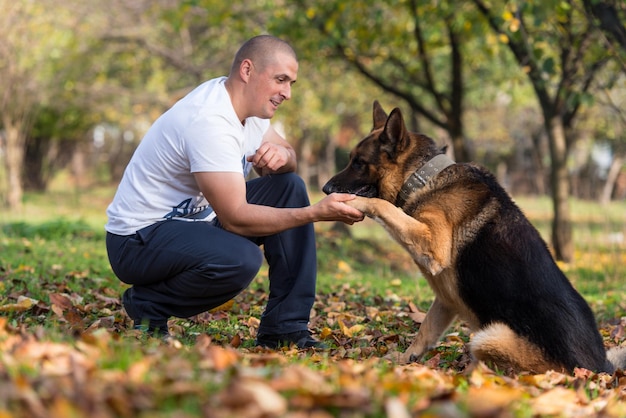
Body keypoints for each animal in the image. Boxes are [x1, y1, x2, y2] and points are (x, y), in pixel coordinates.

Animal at [322, 102, 624, 376]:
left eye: (358, 163)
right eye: (351, 159)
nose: (325, 189)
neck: (423, 177)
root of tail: (599, 370)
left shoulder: (432, 243)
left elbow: (383, 206)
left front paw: (356, 204)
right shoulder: (445, 299)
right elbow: (425, 330)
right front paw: (406, 360)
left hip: (490, 337)